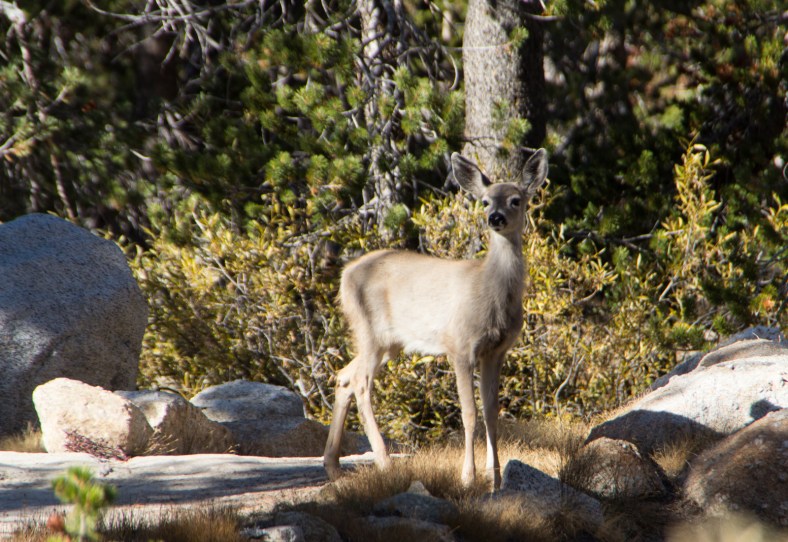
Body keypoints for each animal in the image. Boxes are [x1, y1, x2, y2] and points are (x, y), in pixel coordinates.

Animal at [323, 148, 548, 490]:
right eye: (485, 201)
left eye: (516, 200)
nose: (495, 218)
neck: (489, 290)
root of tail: (344, 276)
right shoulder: (460, 345)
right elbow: (469, 414)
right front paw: (468, 478)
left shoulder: (496, 351)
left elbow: (491, 412)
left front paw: (495, 479)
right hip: (369, 330)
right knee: (361, 384)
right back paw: (384, 462)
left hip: (388, 342)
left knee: (345, 376)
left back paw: (333, 466)